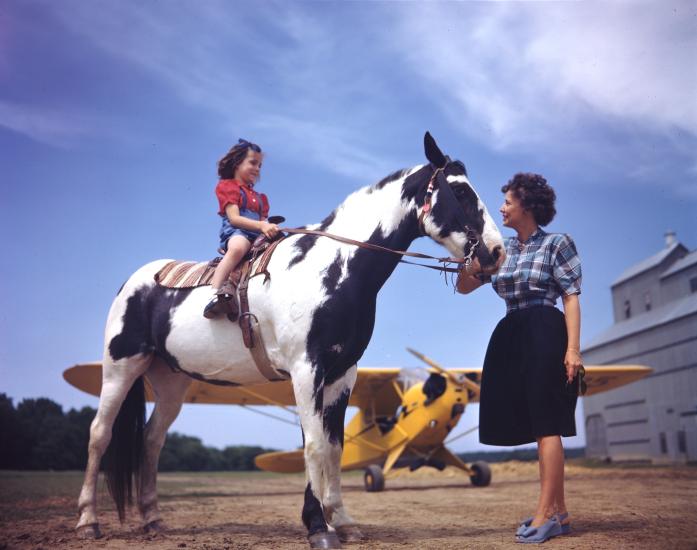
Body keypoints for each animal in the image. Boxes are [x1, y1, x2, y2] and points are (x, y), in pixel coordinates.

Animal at [76, 135, 502, 550]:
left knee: (152, 440)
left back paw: (152, 520)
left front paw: (342, 522)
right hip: (121, 366)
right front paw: (319, 528)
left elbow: (333, 447)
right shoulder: (305, 369)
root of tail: (134, 281)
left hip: (171, 380)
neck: (332, 269)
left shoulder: (341, 374)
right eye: (460, 192)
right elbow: (313, 446)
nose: (496, 252)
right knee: (99, 434)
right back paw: (87, 521)